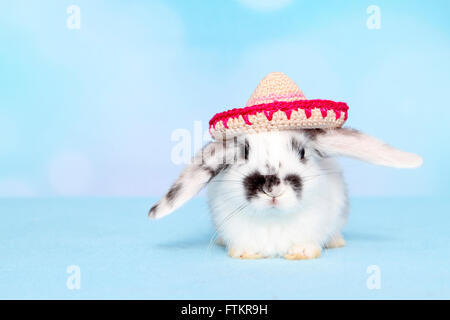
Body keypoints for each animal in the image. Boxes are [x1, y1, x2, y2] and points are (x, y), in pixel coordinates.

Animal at [148, 127, 422, 260]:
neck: (274, 219)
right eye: (243, 153)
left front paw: (301, 253)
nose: (272, 187)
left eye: (302, 153)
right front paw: (246, 253)